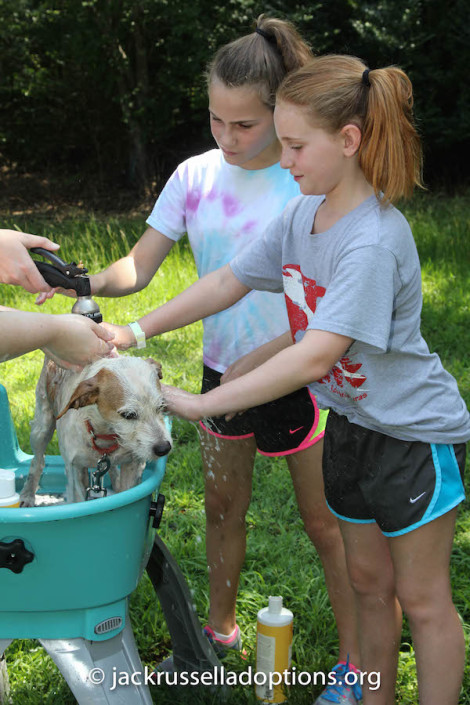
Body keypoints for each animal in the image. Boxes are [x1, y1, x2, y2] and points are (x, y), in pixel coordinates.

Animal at [20, 354, 172, 504]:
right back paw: (27, 495)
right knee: (38, 461)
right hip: (41, 429)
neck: (105, 435)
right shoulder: (75, 469)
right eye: (128, 415)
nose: (164, 448)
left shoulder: (133, 465)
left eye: (161, 407)